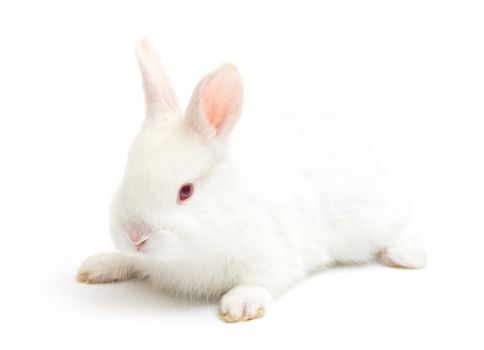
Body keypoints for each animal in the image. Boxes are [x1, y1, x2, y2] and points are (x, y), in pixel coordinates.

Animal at [77, 37, 426, 322]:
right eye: (127, 175)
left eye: (186, 191)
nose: (136, 237)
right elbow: (131, 262)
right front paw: (99, 265)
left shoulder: (273, 254)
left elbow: (262, 279)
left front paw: (241, 305)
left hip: (372, 219)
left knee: (401, 222)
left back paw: (408, 257)